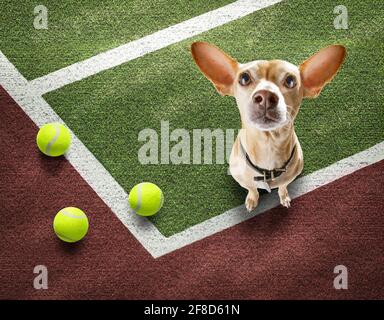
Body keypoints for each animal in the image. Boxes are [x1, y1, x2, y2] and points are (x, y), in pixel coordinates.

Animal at [191, 42, 344, 210]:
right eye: (244, 78)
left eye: (290, 81)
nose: (265, 96)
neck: (268, 144)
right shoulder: (245, 181)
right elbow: (252, 188)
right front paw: (252, 199)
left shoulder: (287, 178)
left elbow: (283, 186)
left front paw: (284, 197)